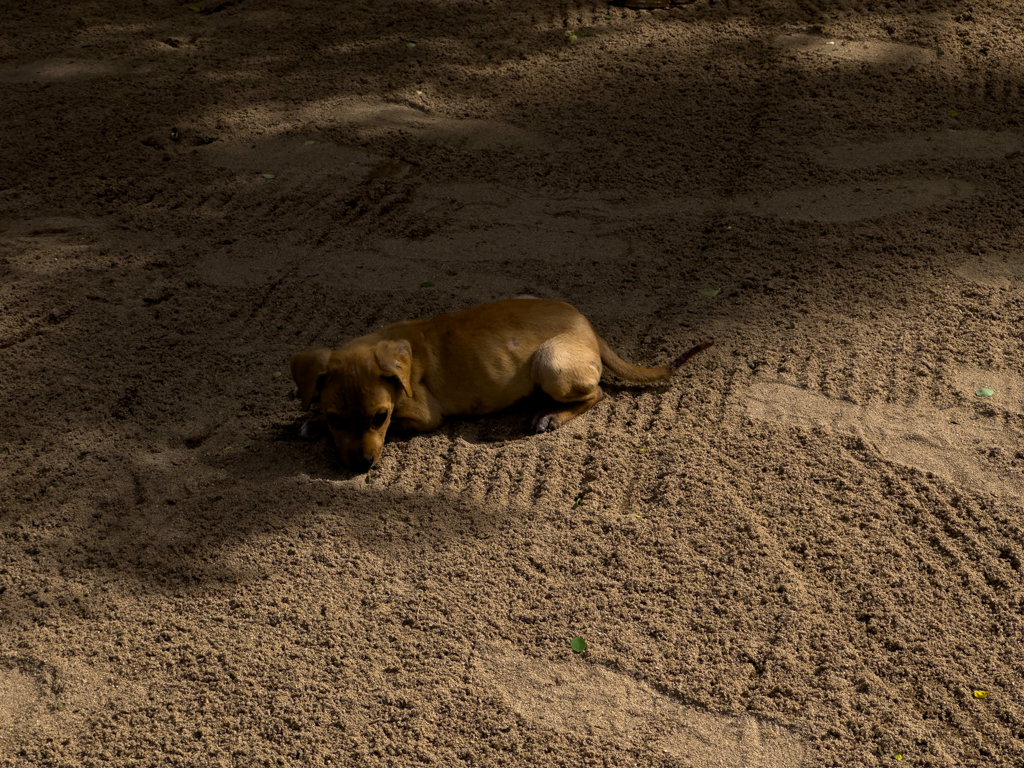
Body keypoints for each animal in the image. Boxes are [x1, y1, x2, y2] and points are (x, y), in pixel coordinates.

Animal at [290, 296, 712, 473]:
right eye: (337, 417)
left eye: (380, 417)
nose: (361, 467)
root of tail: (588, 326)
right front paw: (311, 420)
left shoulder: (422, 417)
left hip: (550, 364)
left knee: (598, 392)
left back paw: (550, 416)